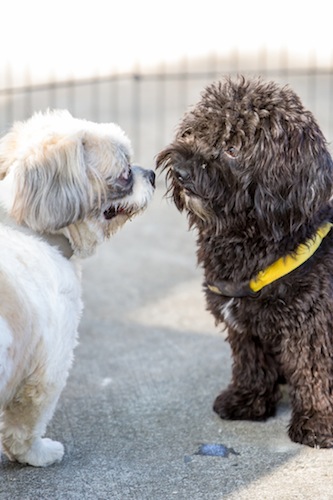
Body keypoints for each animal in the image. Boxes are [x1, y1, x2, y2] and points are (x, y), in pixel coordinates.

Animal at [0, 109, 154, 464]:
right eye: (125, 173)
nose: (152, 173)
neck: (34, 231)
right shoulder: (47, 370)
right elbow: (24, 425)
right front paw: (36, 453)